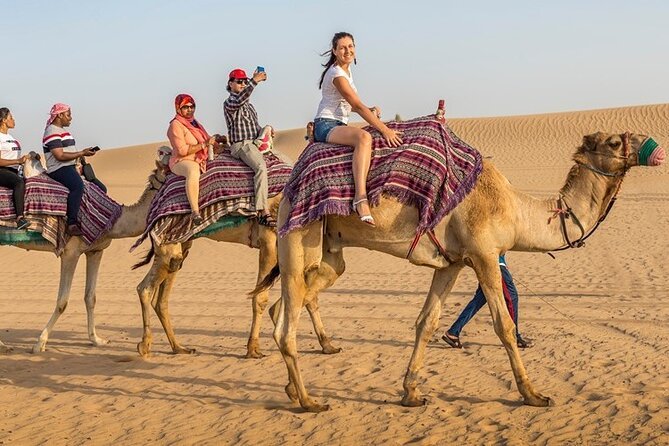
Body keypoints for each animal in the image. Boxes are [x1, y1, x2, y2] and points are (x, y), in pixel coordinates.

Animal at [0, 154, 167, 353]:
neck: (113, 221)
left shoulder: (95, 251)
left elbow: (90, 297)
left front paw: (97, 340)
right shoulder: (70, 253)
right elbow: (62, 302)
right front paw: (39, 344)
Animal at [133, 191, 341, 359]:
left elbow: (310, 297)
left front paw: (328, 346)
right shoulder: (269, 242)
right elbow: (261, 298)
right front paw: (253, 350)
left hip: (182, 245)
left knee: (161, 297)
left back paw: (179, 348)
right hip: (167, 245)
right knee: (145, 288)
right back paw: (145, 345)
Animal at [259, 131, 664, 412]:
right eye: (614, 141)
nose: (655, 147)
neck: (515, 207)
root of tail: (288, 189)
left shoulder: (451, 263)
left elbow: (427, 321)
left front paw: (411, 392)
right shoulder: (484, 253)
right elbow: (504, 325)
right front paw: (533, 394)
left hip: (329, 255)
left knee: (289, 304)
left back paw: (292, 388)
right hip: (298, 238)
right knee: (285, 327)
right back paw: (309, 401)